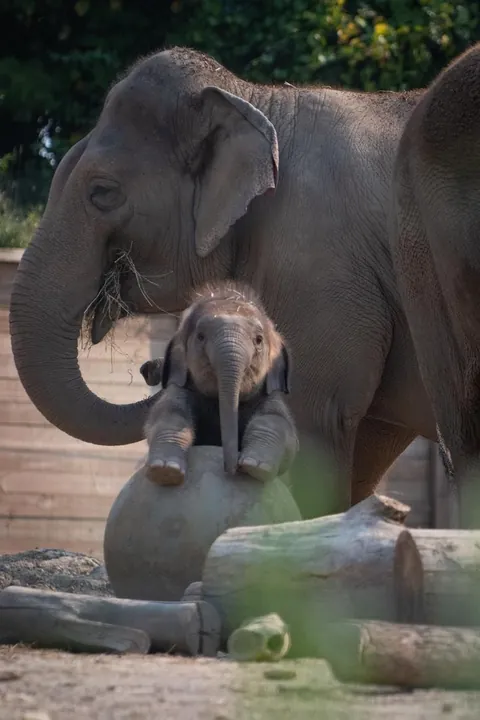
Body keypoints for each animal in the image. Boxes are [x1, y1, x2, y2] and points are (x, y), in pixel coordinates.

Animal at [139, 281, 298, 485]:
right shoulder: (180, 389)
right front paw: (166, 470)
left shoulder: (270, 397)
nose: (231, 469)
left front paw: (255, 466)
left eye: (259, 340)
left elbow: (278, 423)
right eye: (200, 336)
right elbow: (167, 414)